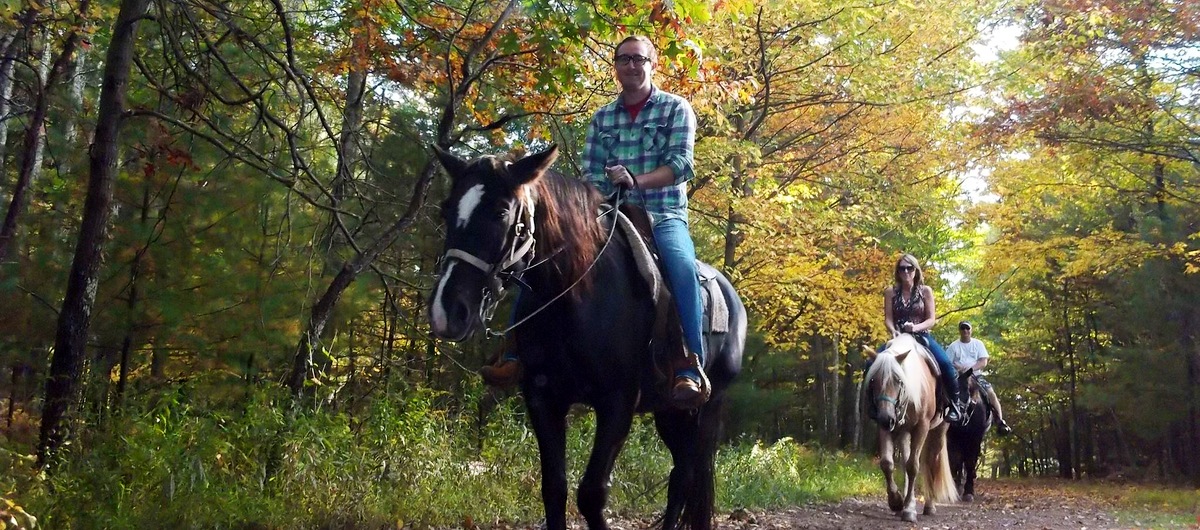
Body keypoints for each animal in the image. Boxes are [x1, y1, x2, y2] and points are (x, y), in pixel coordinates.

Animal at [426, 145, 746, 530]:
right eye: (447, 208)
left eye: (502, 211)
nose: (446, 310)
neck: (578, 296)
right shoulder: (543, 398)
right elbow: (554, 488)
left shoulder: (618, 403)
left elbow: (592, 494)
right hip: (670, 411)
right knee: (680, 476)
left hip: (706, 408)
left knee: (687, 474)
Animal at [863, 334, 958, 522]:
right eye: (873, 380)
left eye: (898, 380)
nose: (886, 418)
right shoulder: (885, 428)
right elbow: (887, 463)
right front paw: (896, 502)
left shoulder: (922, 427)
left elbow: (913, 466)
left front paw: (908, 511)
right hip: (904, 432)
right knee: (905, 462)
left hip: (938, 431)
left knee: (931, 462)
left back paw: (929, 506)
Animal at [947, 368, 990, 501]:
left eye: (966, 391)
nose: (955, 417)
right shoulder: (952, 438)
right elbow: (955, 460)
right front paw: (955, 488)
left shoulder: (975, 439)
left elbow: (970, 462)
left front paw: (969, 492)